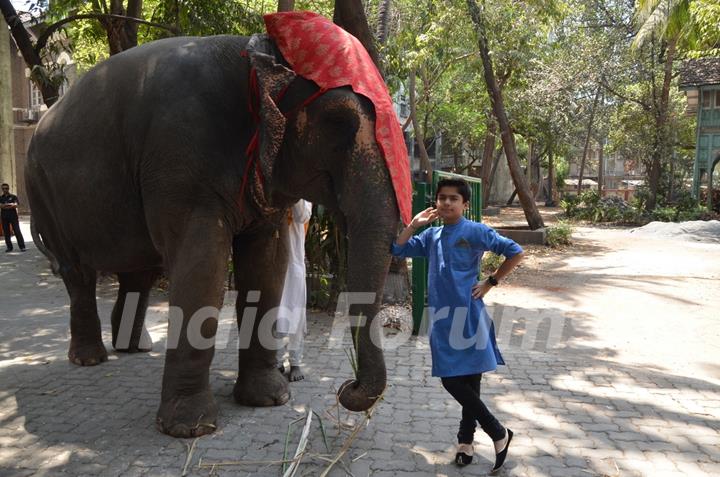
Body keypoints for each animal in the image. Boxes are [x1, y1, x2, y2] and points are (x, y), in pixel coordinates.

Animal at [25, 18, 408, 436]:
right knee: (78, 272)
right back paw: (90, 358)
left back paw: (133, 347)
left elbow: (267, 269)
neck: (255, 56)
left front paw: (269, 399)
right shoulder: (181, 160)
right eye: (340, 122)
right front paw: (189, 428)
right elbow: (203, 271)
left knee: (139, 272)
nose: (347, 388)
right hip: (42, 192)